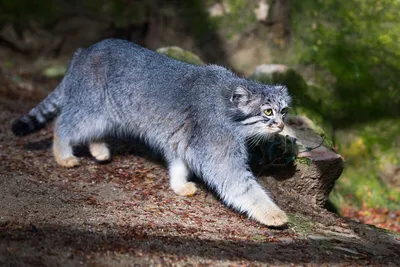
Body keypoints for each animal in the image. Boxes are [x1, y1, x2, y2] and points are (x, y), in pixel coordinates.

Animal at [11, 38, 290, 227]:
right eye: (267, 112)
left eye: (284, 111)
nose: (280, 125)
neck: (226, 104)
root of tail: (85, 51)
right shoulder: (219, 150)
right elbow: (243, 187)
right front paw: (272, 213)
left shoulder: (182, 140)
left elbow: (178, 164)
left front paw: (179, 185)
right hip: (92, 109)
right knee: (64, 124)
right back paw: (63, 154)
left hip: (104, 115)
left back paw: (99, 149)